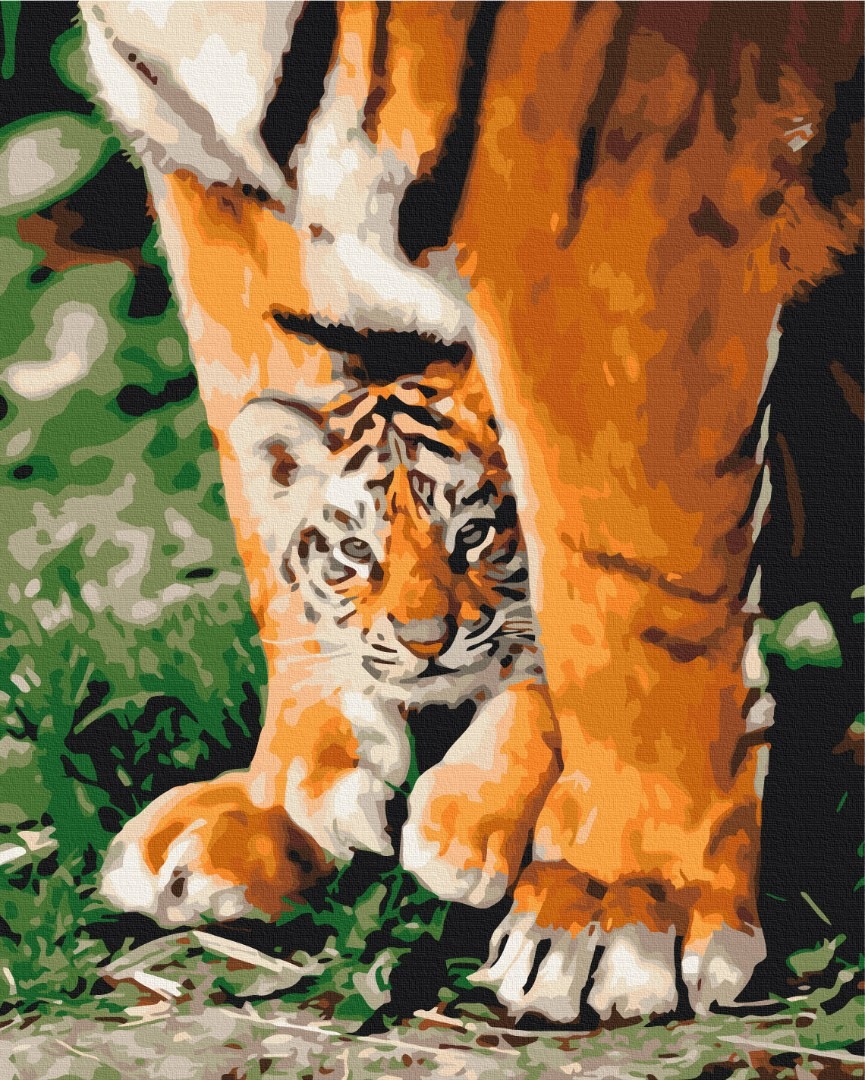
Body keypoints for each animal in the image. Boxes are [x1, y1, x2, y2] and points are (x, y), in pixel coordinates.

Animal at [80, 1, 862, 1023]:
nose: (420, 637)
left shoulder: (612, 202)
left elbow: (616, 587)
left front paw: (622, 902)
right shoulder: (214, 188)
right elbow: (260, 478)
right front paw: (289, 796)